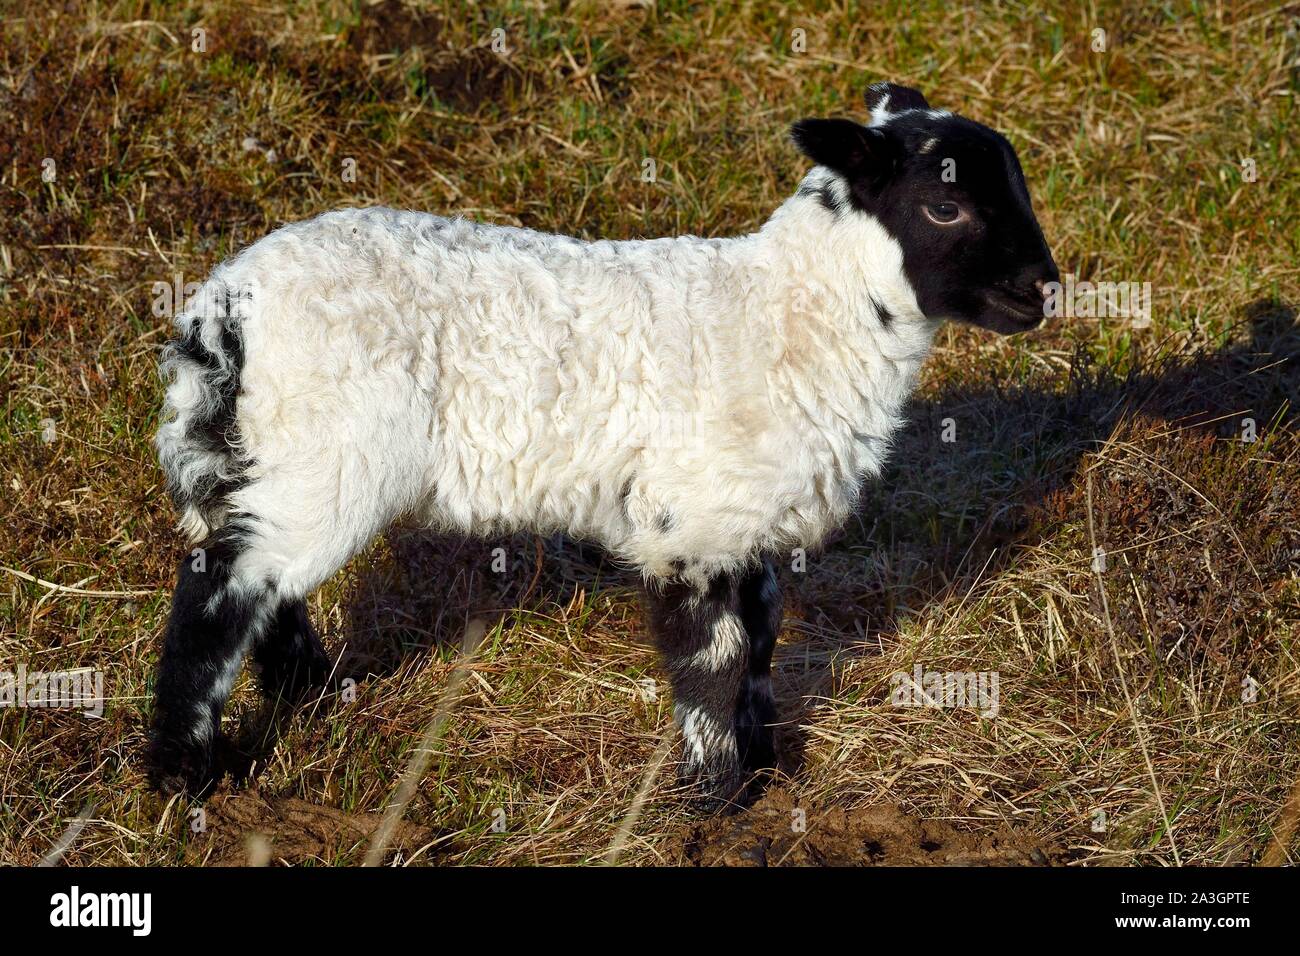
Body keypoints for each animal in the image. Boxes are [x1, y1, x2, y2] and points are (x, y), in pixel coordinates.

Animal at [144, 82, 1055, 806]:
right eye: (945, 206)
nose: (1043, 289)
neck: (793, 315)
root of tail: (225, 308)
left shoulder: (749, 521)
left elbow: (761, 646)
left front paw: (761, 770)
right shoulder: (692, 524)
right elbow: (714, 662)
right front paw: (715, 798)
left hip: (275, 453)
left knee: (258, 574)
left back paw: (309, 691)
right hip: (329, 447)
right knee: (220, 588)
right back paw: (187, 773)